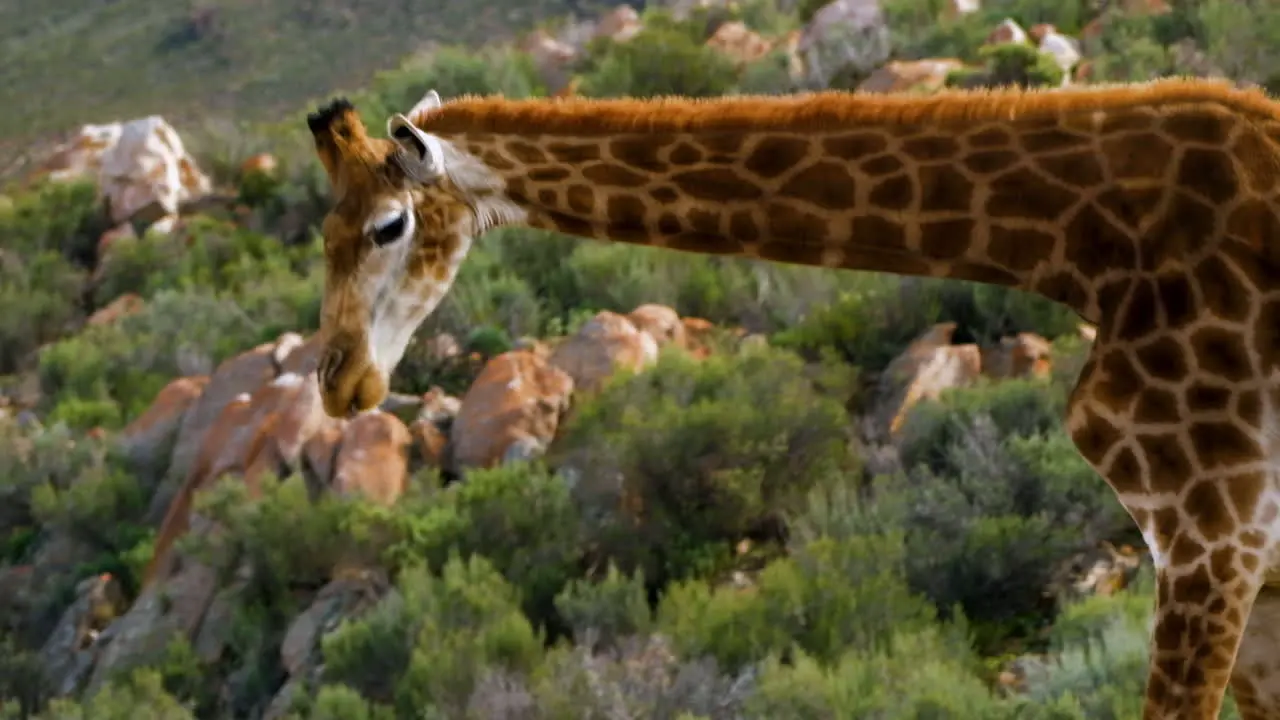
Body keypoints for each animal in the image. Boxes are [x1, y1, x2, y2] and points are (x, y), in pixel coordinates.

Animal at [304, 79, 1280, 717]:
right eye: (321, 233)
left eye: (390, 225)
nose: (339, 380)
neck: (1090, 246)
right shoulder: (1240, 558)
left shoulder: (1210, 534)